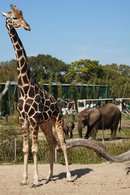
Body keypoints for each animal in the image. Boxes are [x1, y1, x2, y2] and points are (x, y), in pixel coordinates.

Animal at [1, 4, 71, 187]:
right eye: (14, 17)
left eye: (23, 16)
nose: (28, 27)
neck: (24, 88)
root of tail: (58, 104)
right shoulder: (23, 120)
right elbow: (26, 149)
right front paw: (25, 179)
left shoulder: (33, 120)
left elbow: (34, 149)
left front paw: (34, 180)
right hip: (46, 124)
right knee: (52, 143)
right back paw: (49, 176)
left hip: (58, 120)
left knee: (62, 143)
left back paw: (68, 176)